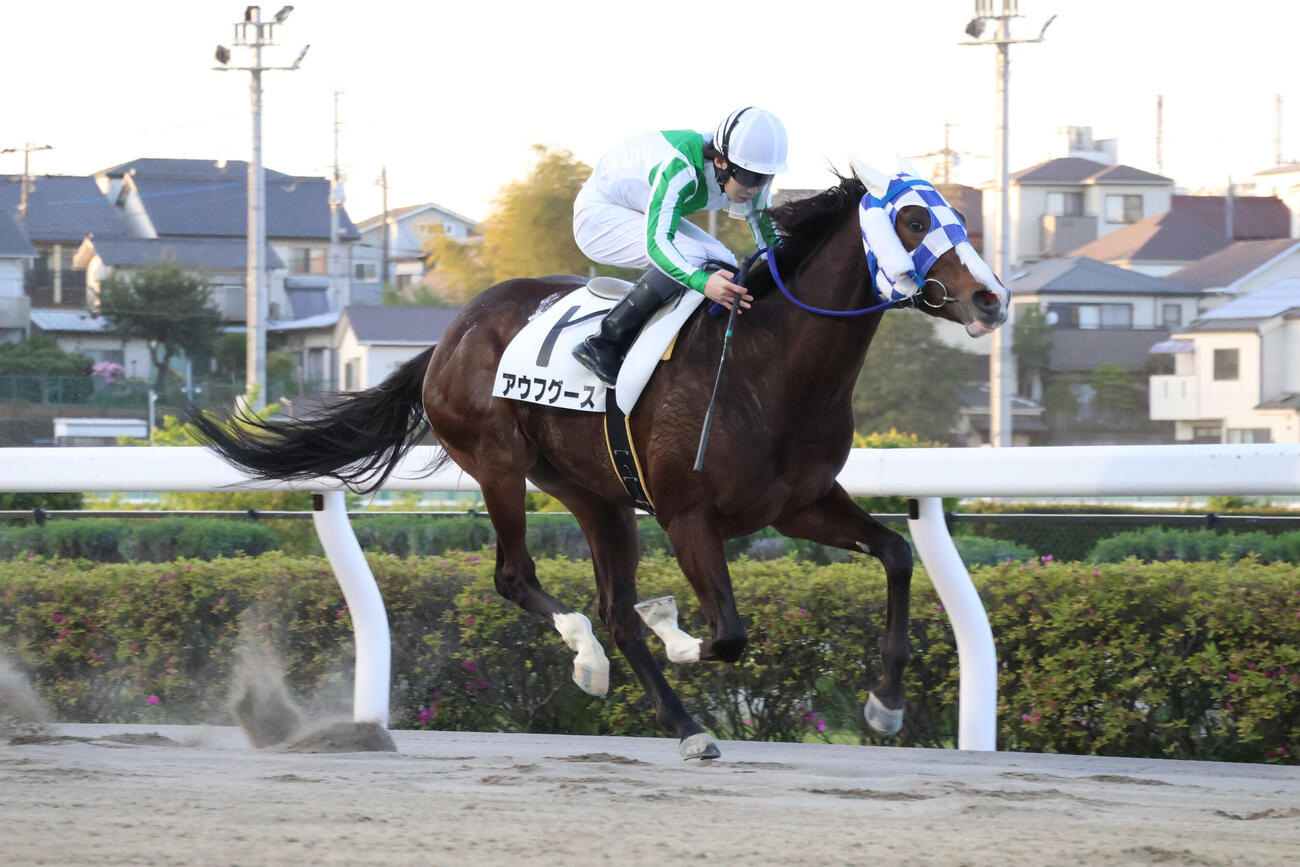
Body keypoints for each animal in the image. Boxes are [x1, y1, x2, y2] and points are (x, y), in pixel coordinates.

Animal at [188, 157, 1009, 760]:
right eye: (911, 219)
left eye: (956, 215)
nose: (992, 298)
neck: (767, 365)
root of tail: (452, 333)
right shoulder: (687, 515)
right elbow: (728, 633)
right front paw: (674, 627)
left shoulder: (799, 503)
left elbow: (896, 553)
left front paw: (886, 704)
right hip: (499, 466)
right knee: (522, 579)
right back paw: (594, 664)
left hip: (596, 493)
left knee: (612, 606)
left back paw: (681, 720)